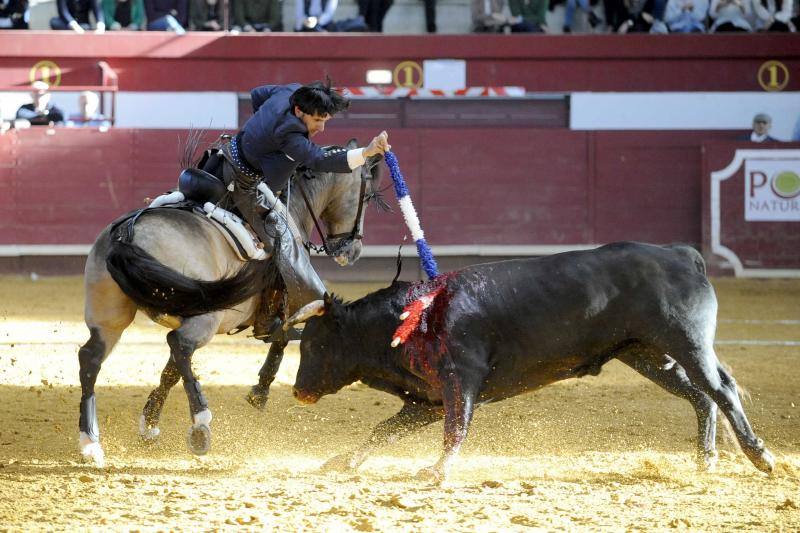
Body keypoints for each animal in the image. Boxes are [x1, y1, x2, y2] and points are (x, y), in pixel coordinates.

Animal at [76, 140, 386, 466]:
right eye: (368, 197)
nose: (353, 251)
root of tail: (128, 234)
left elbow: (169, 372)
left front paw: (149, 424)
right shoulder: (290, 305)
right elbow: (282, 336)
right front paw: (259, 392)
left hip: (110, 317)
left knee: (92, 358)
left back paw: (90, 442)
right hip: (204, 318)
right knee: (179, 345)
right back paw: (200, 424)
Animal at [288, 242, 776, 482]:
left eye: (313, 346)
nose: (297, 390)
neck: (415, 317)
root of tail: (682, 255)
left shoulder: (460, 382)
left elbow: (455, 428)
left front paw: (437, 471)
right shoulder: (426, 400)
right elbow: (383, 430)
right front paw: (342, 462)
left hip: (687, 341)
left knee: (721, 388)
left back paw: (761, 457)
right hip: (646, 354)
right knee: (701, 395)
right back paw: (705, 460)